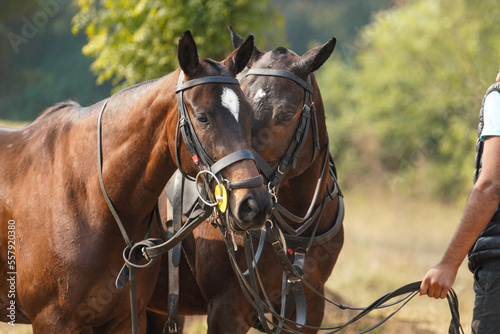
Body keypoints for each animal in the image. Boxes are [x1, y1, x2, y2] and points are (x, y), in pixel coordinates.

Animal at [0, 30, 272, 332]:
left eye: (249, 116)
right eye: (203, 117)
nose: (254, 204)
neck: (90, 198)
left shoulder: (123, 318)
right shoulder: (53, 321)